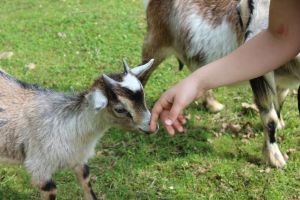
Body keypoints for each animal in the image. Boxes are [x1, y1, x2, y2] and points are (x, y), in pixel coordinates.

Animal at [0, 59, 158, 200]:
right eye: (119, 109)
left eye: (143, 96)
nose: (152, 126)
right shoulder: (40, 169)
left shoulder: (80, 160)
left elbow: (87, 186)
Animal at [142, 0, 298, 169]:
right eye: (242, 11)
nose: (253, 45)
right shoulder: (262, 75)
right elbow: (270, 117)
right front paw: (274, 158)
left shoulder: (282, 82)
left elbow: (279, 104)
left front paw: (280, 126)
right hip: (155, 42)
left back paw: (212, 104)